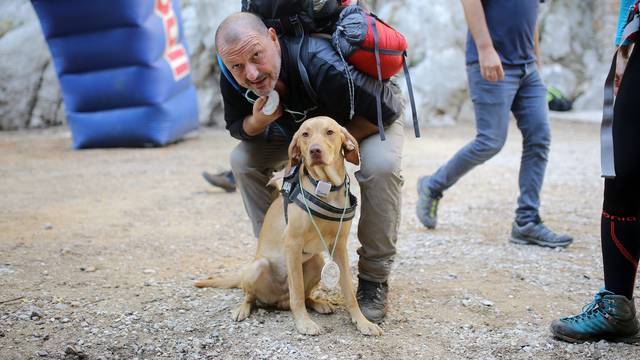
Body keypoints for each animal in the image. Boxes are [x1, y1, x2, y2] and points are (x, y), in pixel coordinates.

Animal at [195, 116, 382, 336]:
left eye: (330, 132)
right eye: (305, 134)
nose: (315, 151)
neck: (325, 188)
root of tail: (279, 301)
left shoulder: (340, 247)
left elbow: (349, 292)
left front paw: (362, 322)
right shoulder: (292, 244)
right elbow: (297, 293)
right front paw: (304, 323)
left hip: (316, 262)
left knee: (303, 295)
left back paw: (318, 303)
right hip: (257, 268)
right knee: (252, 296)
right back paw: (243, 309)